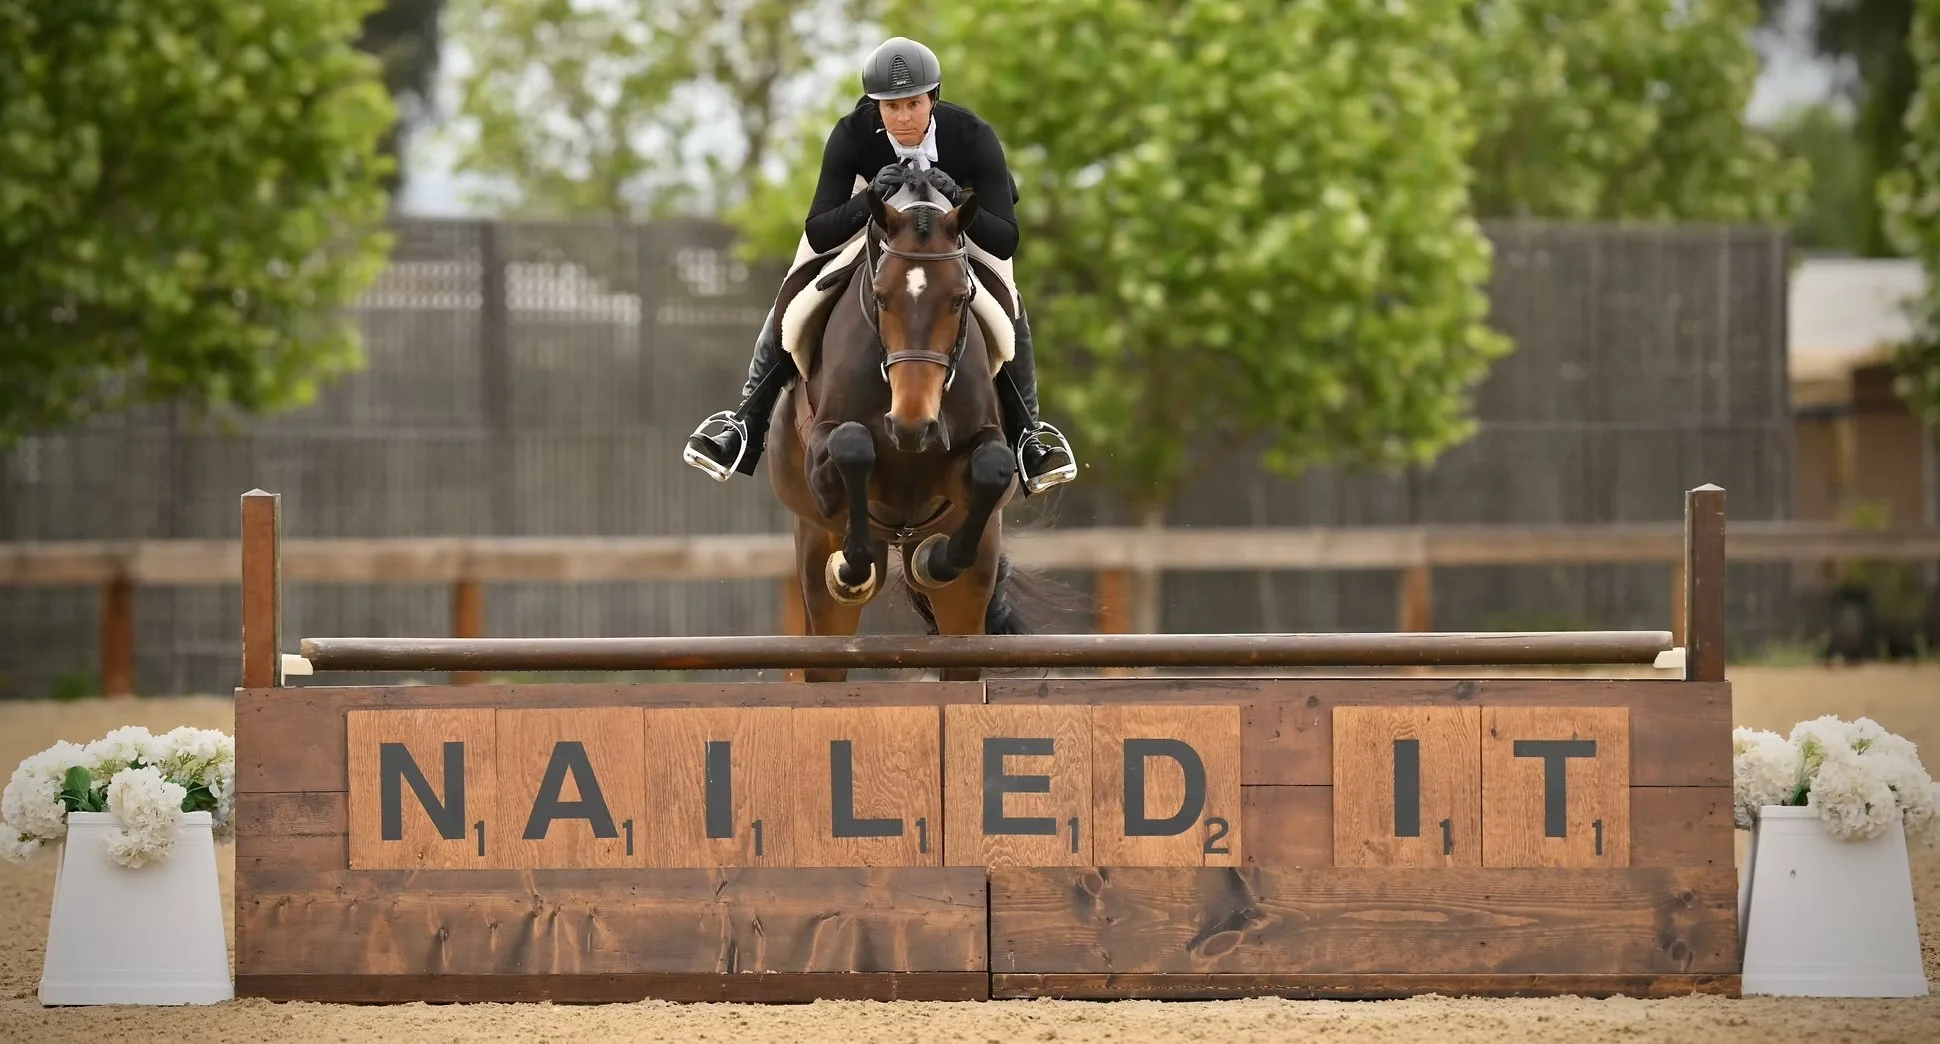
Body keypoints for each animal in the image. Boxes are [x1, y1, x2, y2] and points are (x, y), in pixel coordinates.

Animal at [767, 178, 1029, 682]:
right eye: (881, 296)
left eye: (959, 299)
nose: (912, 426)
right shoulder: (824, 463)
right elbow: (852, 446)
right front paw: (852, 568)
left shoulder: (974, 455)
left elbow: (992, 465)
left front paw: (937, 560)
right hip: (814, 557)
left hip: (971, 595)